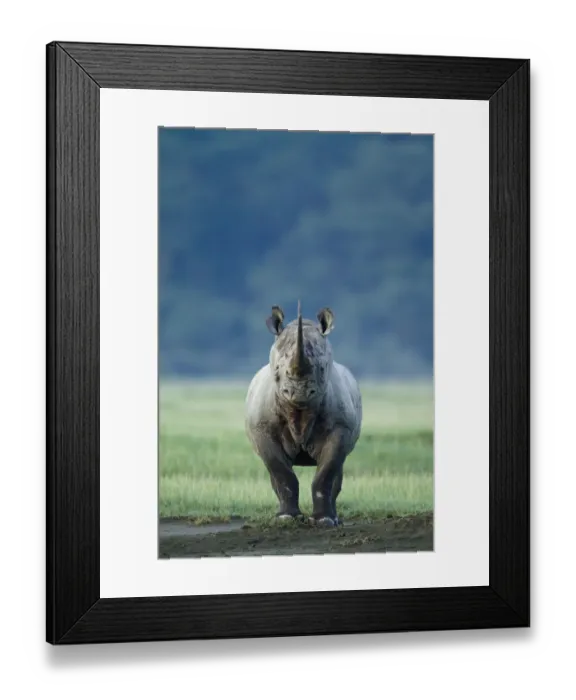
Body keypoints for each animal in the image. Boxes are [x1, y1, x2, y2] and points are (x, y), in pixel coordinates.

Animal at [245, 302, 362, 527]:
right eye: (277, 370)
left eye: (323, 368)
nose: (299, 393)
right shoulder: (262, 429)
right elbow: (281, 473)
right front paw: (286, 518)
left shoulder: (339, 429)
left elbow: (326, 473)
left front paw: (323, 521)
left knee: (339, 466)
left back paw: (335, 519)